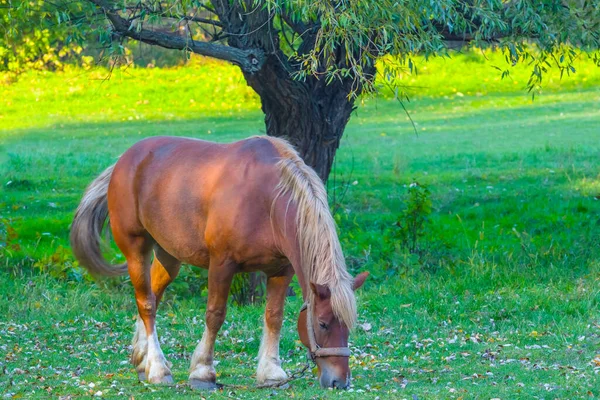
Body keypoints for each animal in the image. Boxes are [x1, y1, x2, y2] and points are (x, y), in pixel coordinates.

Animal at [72, 136, 368, 390]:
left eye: (349, 325)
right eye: (322, 324)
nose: (339, 382)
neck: (266, 199)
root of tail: (125, 160)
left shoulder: (281, 270)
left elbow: (274, 316)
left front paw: (271, 373)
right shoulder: (222, 264)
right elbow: (215, 315)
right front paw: (203, 373)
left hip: (169, 256)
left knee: (152, 298)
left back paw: (142, 360)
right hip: (136, 250)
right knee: (146, 305)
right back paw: (158, 369)